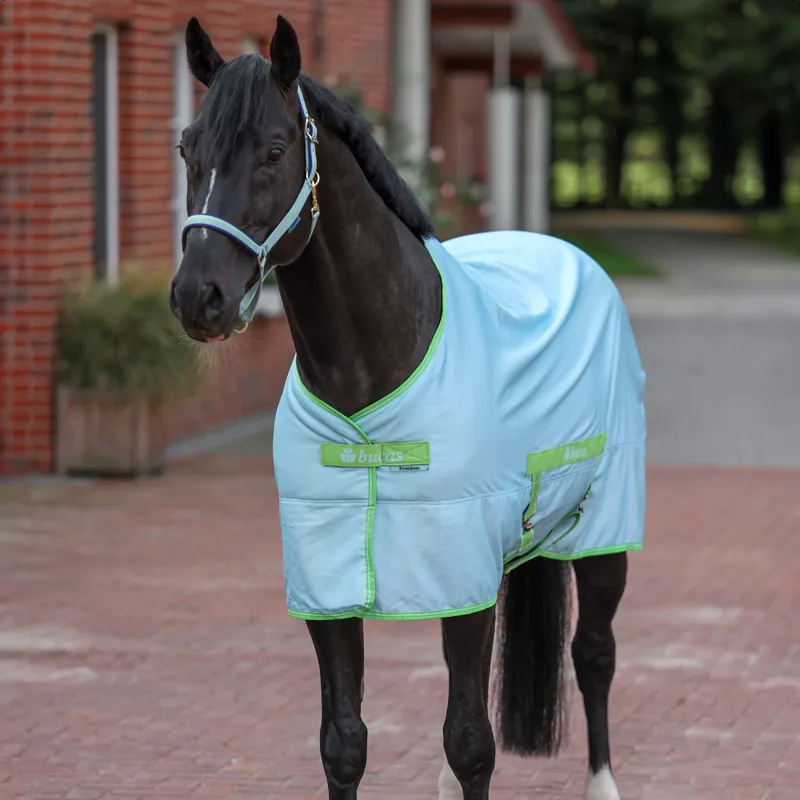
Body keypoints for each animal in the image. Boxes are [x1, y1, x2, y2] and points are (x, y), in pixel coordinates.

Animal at [169, 15, 646, 800]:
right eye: (187, 146)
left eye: (274, 148)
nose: (197, 297)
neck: (370, 381)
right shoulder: (330, 576)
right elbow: (345, 742)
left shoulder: (462, 559)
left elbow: (472, 741)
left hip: (603, 529)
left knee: (595, 653)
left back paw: (603, 782)